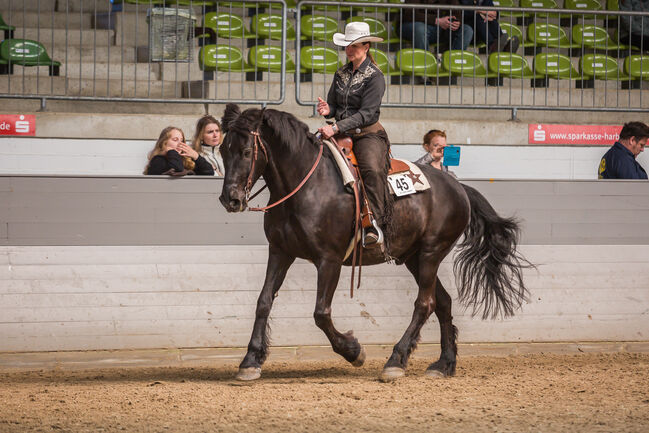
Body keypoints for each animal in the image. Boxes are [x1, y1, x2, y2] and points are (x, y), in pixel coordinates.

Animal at [220, 105, 528, 382]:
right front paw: (250, 361)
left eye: (246, 152)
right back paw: (443, 364)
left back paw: (396, 360)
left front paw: (354, 351)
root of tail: (458, 186)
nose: (230, 200)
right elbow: (264, 301)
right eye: (223, 150)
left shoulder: (329, 260)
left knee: (425, 303)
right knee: (443, 302)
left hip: (431, 252)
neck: (306, 184)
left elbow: (321, 313)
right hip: (414, 258)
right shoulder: (280, 252)